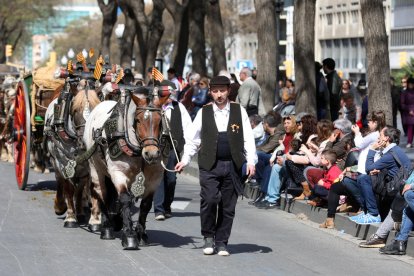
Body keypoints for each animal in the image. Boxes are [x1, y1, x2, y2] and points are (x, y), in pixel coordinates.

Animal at [44, 79, 100, 226]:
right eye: (75, 111)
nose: (86, 142)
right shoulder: (63, 162)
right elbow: (69, 188)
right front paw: (70, 217)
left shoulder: (87, 167)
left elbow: (82, 188)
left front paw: (82, 214)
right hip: (55, 160)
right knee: (59, 180)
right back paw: (60, 206)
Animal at [82, 86, 168, 250]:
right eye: (138, 120)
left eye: (160, 121)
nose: (152, 153)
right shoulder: (118, 173)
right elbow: (125, 199)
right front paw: (129, 235)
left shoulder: (155, 178)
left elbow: (146, 205)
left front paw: (141, 234)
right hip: (96, 168)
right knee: (102, 194)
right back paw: (107, 228)